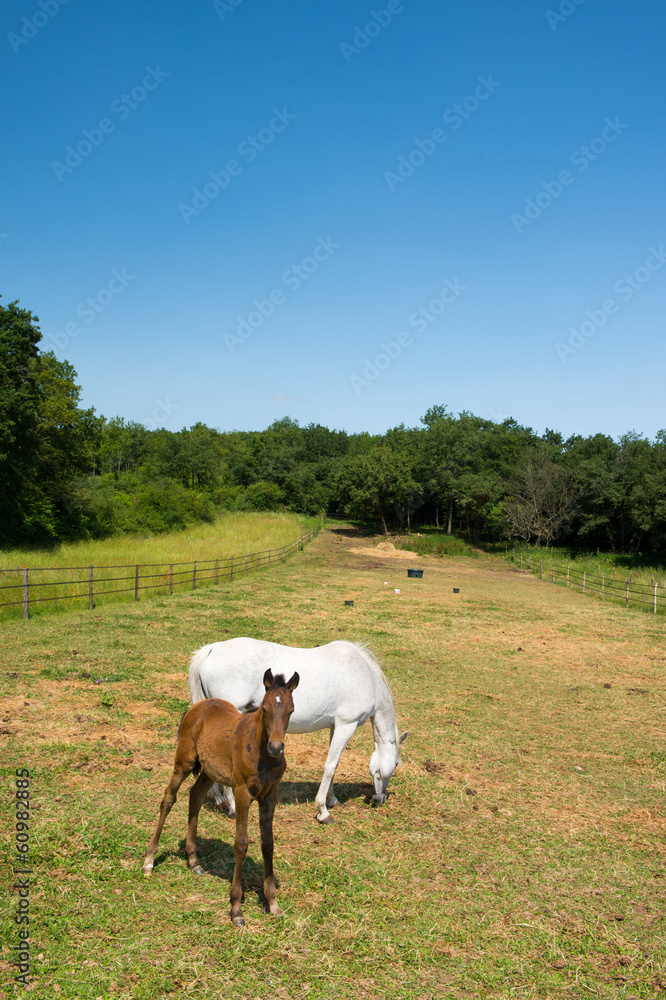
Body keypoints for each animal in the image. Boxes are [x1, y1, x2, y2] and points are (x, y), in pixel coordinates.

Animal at [142, 668, 299, 927]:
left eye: (291, 711)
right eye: (265, 708)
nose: (276, 747)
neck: (262, 754)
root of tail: (198, 706)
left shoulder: (270, 796)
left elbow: (268, 844)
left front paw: (272, 903)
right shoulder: (243, 792)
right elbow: (241, 844)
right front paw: (236, 908)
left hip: (209, 770)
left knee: (195, 796)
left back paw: (193, 861)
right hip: (184, 761)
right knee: (168, 799)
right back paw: (149, 861)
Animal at [188, 638, 408, 824]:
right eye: (396, 764)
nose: (380, 799)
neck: (365, 677)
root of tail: (211, 649)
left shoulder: (335, 727)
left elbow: (333, 765)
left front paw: (332, 799)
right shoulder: (346, 725)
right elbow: (330, 766)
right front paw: (323, 811)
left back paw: (218, 798)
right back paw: (232, 806)